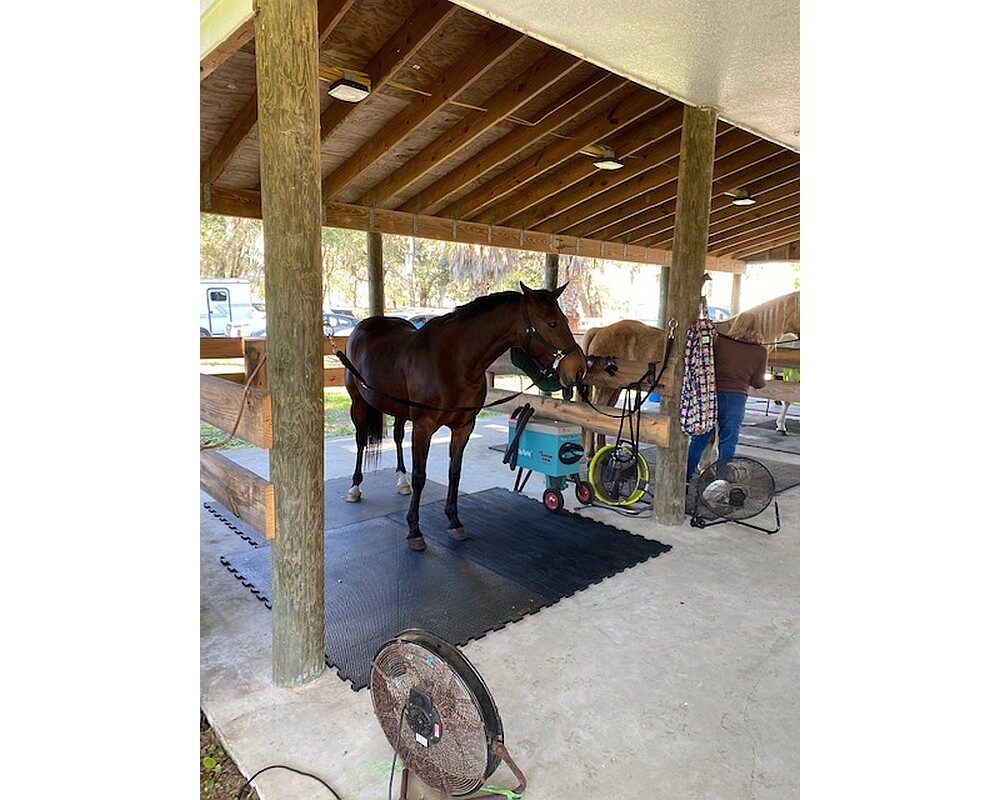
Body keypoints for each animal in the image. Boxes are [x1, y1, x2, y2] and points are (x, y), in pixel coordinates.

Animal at [343, 282, 587, 551]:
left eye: (565, 320)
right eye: (552, 323)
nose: (579, 369)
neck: (453, 363)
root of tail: (365, 326)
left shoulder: (464, 426)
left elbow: (455, 472)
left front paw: (454, 522)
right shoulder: (423, 426)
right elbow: (420, 476)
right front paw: (414, 531)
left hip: (398, 409)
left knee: (397, 437)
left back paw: (401, 480)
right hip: (358, 404)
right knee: (360, 441)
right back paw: (355, 487)